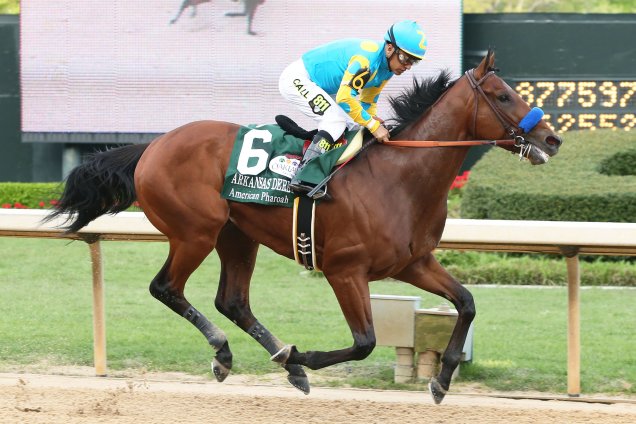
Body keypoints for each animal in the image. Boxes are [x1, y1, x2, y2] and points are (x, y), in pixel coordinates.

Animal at [46, 50, 560, 404]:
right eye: (502, 95)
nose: (551, 138)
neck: (400, 176)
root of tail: (152, 147)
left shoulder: (413, 262)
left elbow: (467, 303)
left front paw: (442, 378)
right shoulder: (344, 270)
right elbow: (364, 342)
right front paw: (304, 358)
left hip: (237, 235)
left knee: (232, 300)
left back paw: (274, 359)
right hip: (196, 231)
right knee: (167, 288)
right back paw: (234, 353)